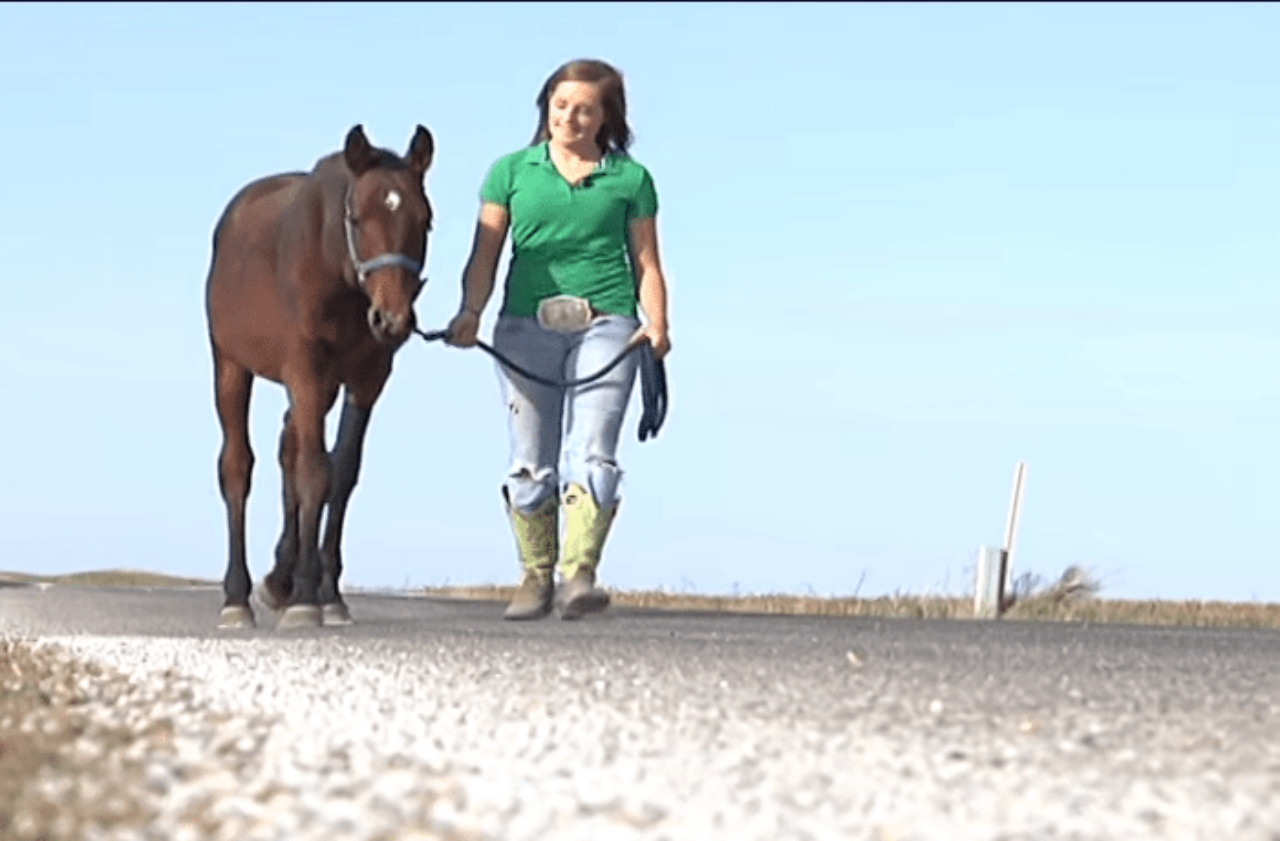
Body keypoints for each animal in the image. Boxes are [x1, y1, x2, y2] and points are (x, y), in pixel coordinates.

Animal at [204, 122, 435, 622]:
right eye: (358, 218)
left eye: (425, 219)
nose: (392, 320)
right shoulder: (305, 370)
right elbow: (315, 471)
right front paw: (307, 599)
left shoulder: (365, 380)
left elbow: (341, 472)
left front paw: (327, 593)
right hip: (231, 367)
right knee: (237, 467)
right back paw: (238, 597)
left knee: (287, 450)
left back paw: (279, 578)